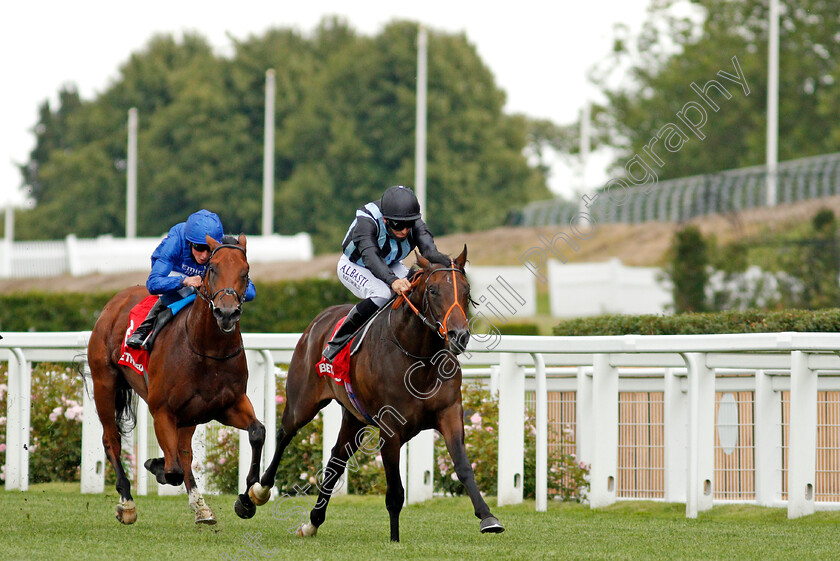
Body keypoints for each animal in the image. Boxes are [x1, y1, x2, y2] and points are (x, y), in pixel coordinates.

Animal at [86, 234, 264, 524]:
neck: (208, 350)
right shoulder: (162, 411)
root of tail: (116, 301)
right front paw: (154, 465)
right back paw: (127, 502)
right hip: (104, 382)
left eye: (245, 271)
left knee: (184, 452)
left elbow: (258, 432)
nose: (227, 313)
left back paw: (201, 508)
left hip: (189, 415)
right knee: (111, 439)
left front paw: (248, 499)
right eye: (212, 269)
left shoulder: (227, 405)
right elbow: (173, 471)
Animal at [243, 246, 506, 544]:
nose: (459, 335)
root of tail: (318, 321)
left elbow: (463, 467)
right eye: (433, 290)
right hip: (303, 402)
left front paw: (488, 517)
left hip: (354, 417)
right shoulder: (390, 431)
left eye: (465, 289)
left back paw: (312, 523)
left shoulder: (449, 414)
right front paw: (395, 539)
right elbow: (395, 492)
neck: (419, 359)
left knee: (335, 460)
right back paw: (255, 493)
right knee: (284, 433)